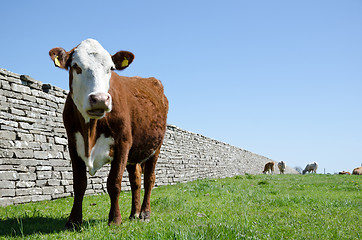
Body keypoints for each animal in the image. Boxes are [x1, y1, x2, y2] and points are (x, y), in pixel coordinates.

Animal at [48, 38, 169, 228]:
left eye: (111, 68)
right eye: (76, 66)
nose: (99, 99)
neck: (91, 130)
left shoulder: (123, 143)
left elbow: (114, 183)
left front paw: (115, 219)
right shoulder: (73, 145)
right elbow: (79, 183)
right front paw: (74, 221)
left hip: (155, 147)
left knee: (150, 179)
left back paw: (144, 213)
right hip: (134, 154)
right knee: (135, 180)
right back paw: (134, 213)